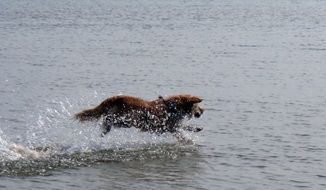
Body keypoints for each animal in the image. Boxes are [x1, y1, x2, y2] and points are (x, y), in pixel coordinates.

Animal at [74, 94, 204, 140]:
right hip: (126, 120)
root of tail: (117, 98)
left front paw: (196, 129)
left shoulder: (171, 125)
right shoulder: (168, 126)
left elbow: (184, 126)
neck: (171, 108)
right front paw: (187, 139)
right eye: (196, 106)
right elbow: (181, 130)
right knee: (108, 120)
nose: (202, 111)